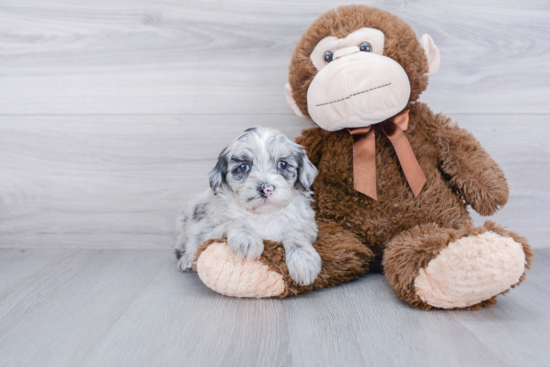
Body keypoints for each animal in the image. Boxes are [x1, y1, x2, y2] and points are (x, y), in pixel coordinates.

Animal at [176, 127, 324, 288]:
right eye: (243, 167)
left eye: (283, 164)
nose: (266, 189)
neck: (264, 215)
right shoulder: (207, 229)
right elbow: (235, 222)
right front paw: (246, 239)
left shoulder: (309, 227)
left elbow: (295, 233)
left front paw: (304, 261)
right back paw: (186, 260)